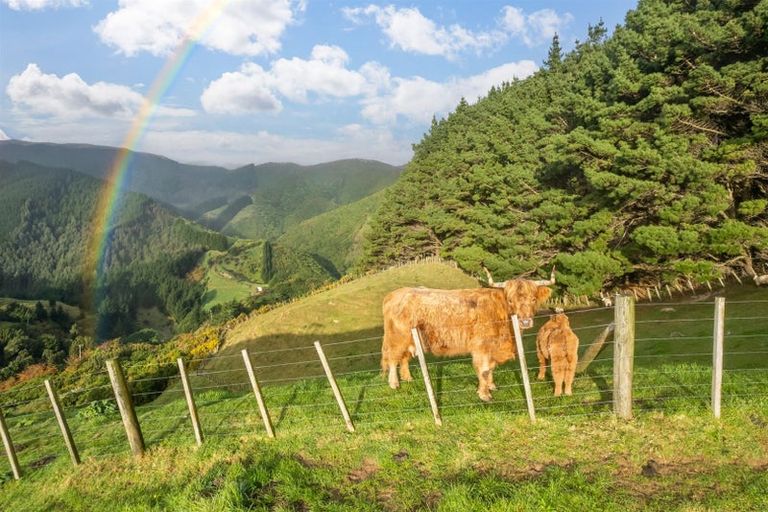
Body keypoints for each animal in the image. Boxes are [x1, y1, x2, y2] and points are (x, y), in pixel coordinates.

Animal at [382, 266, 552, 402]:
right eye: (510, 300)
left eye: (533, 299)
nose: (525, 322)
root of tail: (394, 294)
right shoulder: (481, 347)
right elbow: (484, 369)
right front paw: (484, 394)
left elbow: (491, 367)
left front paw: (491, 386)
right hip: (397, 337)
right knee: (393, 358)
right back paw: (394, 384)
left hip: (409, 339)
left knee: (403, 358)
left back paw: (408, 379)